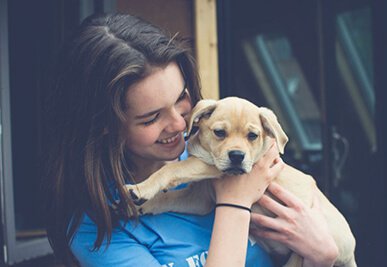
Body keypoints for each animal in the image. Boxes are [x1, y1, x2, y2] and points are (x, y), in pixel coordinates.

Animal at [125, 97, 358, 267]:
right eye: (219, 133)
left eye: (253, 135)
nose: (237, 156)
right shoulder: (199, 198)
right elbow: (168, 198)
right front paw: (137, 206)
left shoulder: (211, 167)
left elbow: (172, 168)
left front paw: (140, 188)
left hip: (307, 248)